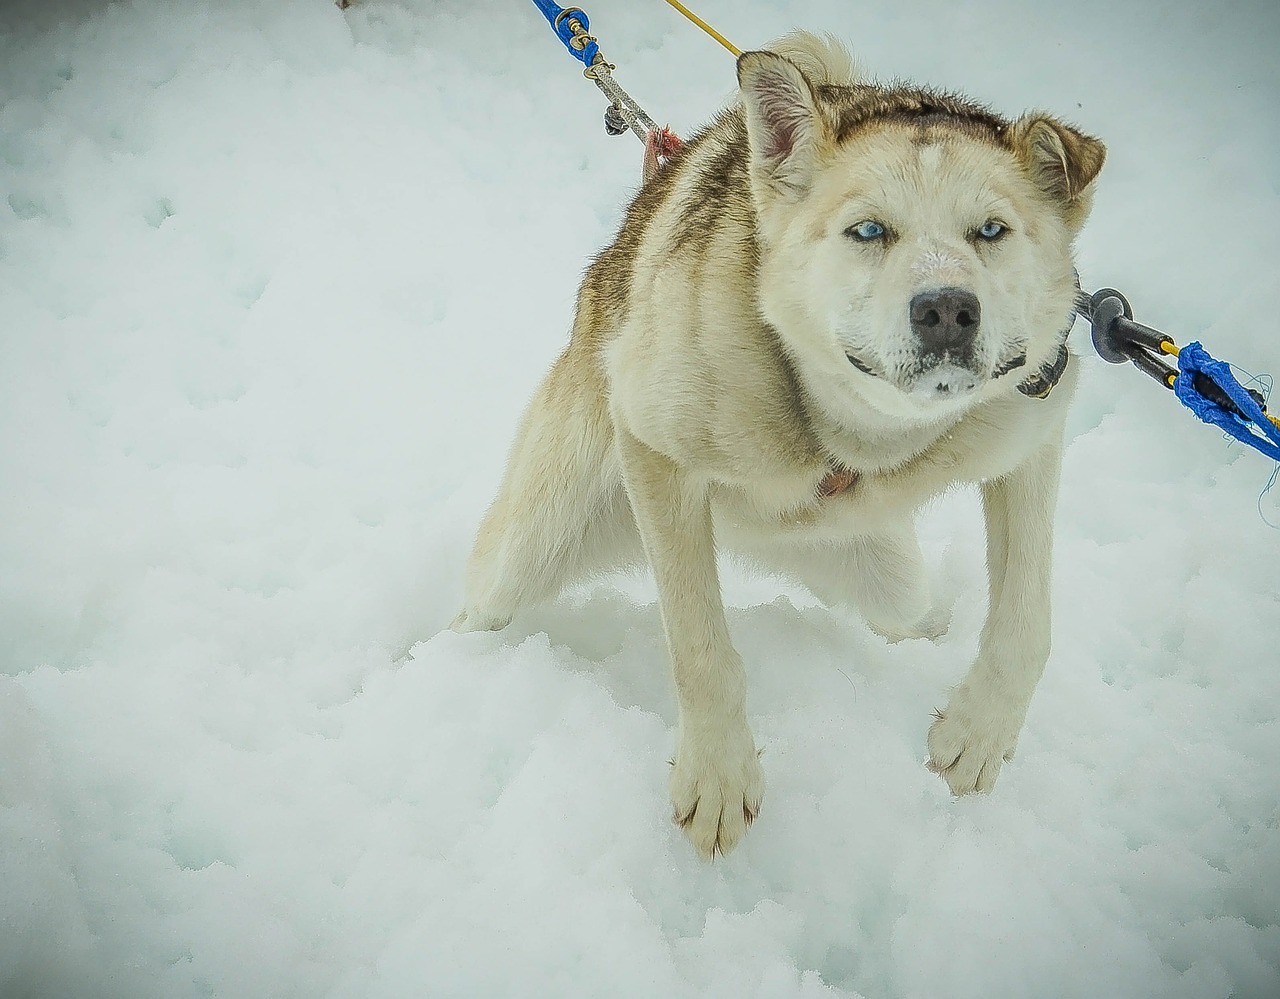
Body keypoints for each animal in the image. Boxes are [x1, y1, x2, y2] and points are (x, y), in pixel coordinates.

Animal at [455, 33, 1105, 860]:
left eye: (990, 231)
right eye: (869, 230)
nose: (947, 309)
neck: (852, 434)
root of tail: (759, 536)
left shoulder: (1030, 427)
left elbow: (1027, 620)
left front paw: (979, 732)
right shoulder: (655, 452)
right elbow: (701, 646)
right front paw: (719, 773)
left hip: (888, 578)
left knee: (911, 614)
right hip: (533, 542)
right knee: (481, 600)